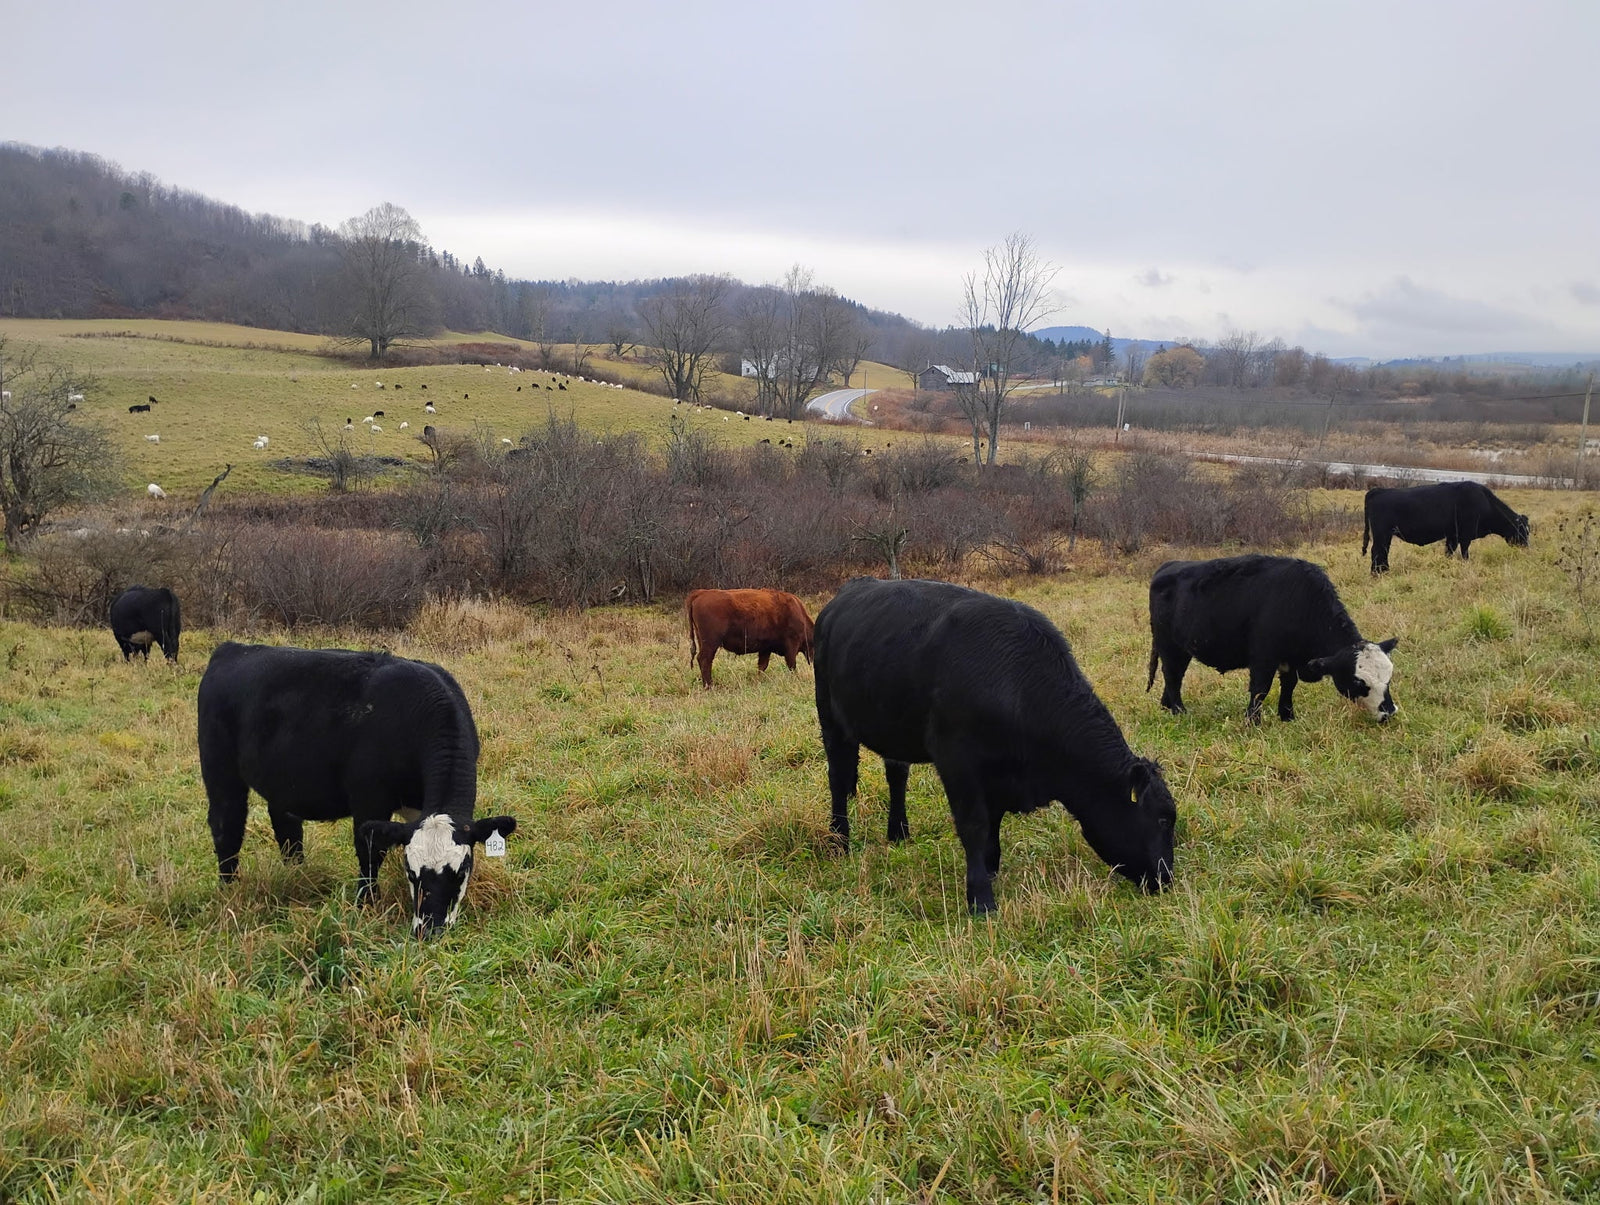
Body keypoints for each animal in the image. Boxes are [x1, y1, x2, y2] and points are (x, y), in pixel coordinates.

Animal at [197, 643, 516, 938]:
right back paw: (229, 889)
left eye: (461, 870)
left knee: (286, 826)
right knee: (226, 825)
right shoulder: (369, 798)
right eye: (411, 871)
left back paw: (297, 874)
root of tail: (233, 649)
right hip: (220, 771)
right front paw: (366, 903)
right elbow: (370, 851)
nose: (429, 929)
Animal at [686, 588, 814, 688]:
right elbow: (792, 665)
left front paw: (758, 681)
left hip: (702, 641)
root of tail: (700, 593)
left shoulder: (765, 649)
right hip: (711, 643)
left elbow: (762, 666)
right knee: (704, 660)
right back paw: (709, 686)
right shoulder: (791, 646)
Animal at [814, 577, 1176, 913]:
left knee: (896, 774)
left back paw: (899, 833)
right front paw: (981, 897)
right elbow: (974, 825)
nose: (1166, 880)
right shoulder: (957, 762)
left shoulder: (1000, 774)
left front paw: (990, 867)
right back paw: (839, 840)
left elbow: (993, 821)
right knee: (838, 778)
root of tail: (851, 590)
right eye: (1162, 820)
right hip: (831, 719)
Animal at [1147, 554, 1399, 724]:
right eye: (1359, 682)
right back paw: (1179, 711)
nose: (1389, 711)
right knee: (1172, 675)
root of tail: (1168, 566)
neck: (1300, 601)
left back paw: (1166, 706)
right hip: (1169, 647)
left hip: (1181, 649)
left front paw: (1287, 715)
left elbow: (1289, 685)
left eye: (1388, 679)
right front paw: (1253, 721)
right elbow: (1260, 688)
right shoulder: (1264, 657)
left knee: (1174, 677)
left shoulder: (1291, 659)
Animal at [1361, 482, 1530, 573]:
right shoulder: (1465, 534)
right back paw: (1377, 573)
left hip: (1385, 534)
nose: (1527, 548)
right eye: (1523, 531)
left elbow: (1449, 552)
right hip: (1382, 533)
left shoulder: (1452, 535)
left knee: (1382, 551)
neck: (1485, 503)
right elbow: (1464, 552)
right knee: (1377, 551)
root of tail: (1377, 491)